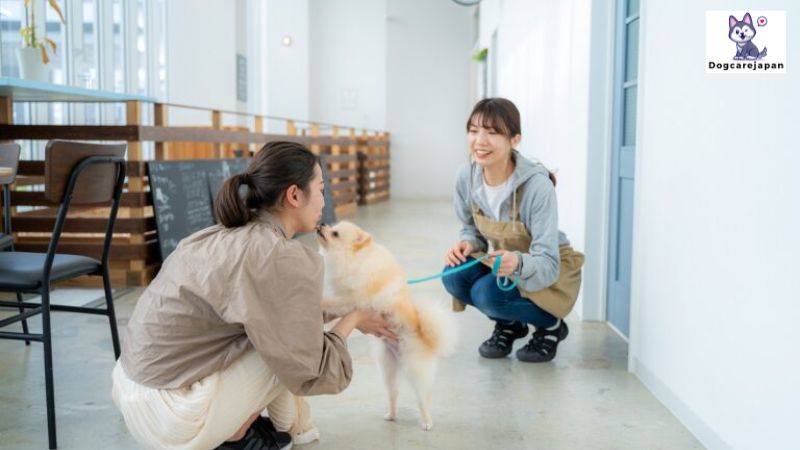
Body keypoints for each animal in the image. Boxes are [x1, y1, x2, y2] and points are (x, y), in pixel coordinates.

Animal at [318, 223, 460, 430]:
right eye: (331, 227)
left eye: (335, 234)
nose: (321, 224)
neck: (355, 259)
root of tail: (421, 329)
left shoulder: (351, 299)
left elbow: (331, 302)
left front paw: (321, 305)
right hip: (388, 367)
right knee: (393, 392)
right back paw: (392, 414)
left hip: (415, 369)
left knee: (422, 399)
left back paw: (426, 421)